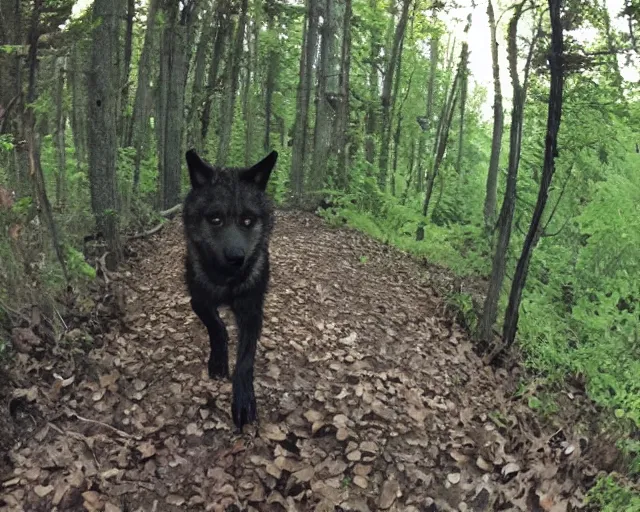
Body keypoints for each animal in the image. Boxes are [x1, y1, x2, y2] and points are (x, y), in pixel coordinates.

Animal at [182, 149, 278, 432]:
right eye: (215, 219)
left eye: (247, 220)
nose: (237, 258)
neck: (227, 282)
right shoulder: (197, 300)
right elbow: (216, 325)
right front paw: (218, 360)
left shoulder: (252, 311)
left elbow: (246, 356)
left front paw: (243, 398)